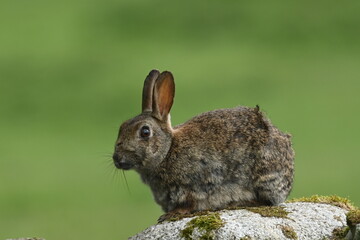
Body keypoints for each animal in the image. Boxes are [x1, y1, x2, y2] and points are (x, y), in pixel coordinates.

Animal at [112, 69, 296, 221]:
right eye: (121, 126)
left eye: (145, 132)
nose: (117, 159)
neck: (168, 150)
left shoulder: (197, 184)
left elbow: (190, 203)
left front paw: (171, 214)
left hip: (264, 173)